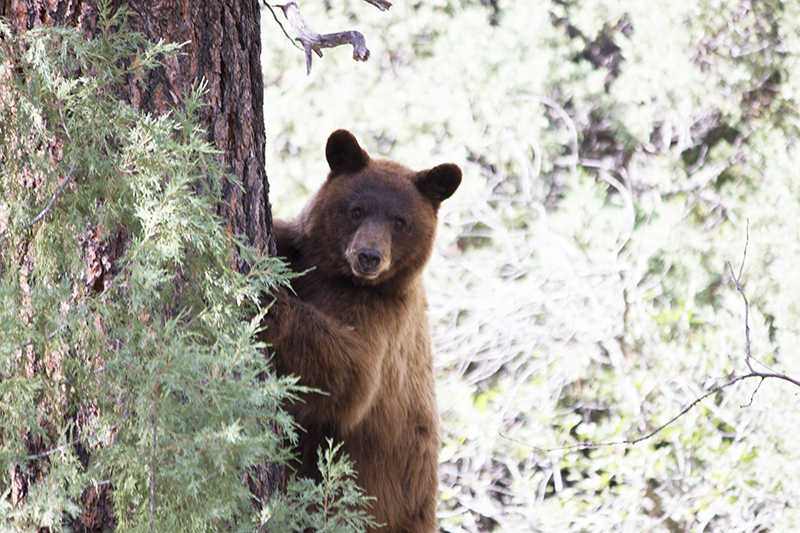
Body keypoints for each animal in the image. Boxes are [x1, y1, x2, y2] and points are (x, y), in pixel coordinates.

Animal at [262, 129, 462, 532]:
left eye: (400, 221)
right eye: (356, 211)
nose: (368, 256)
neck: (339, 278)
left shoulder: (386, 321)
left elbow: (353, 376)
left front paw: (272, 302)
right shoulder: (299, 252)